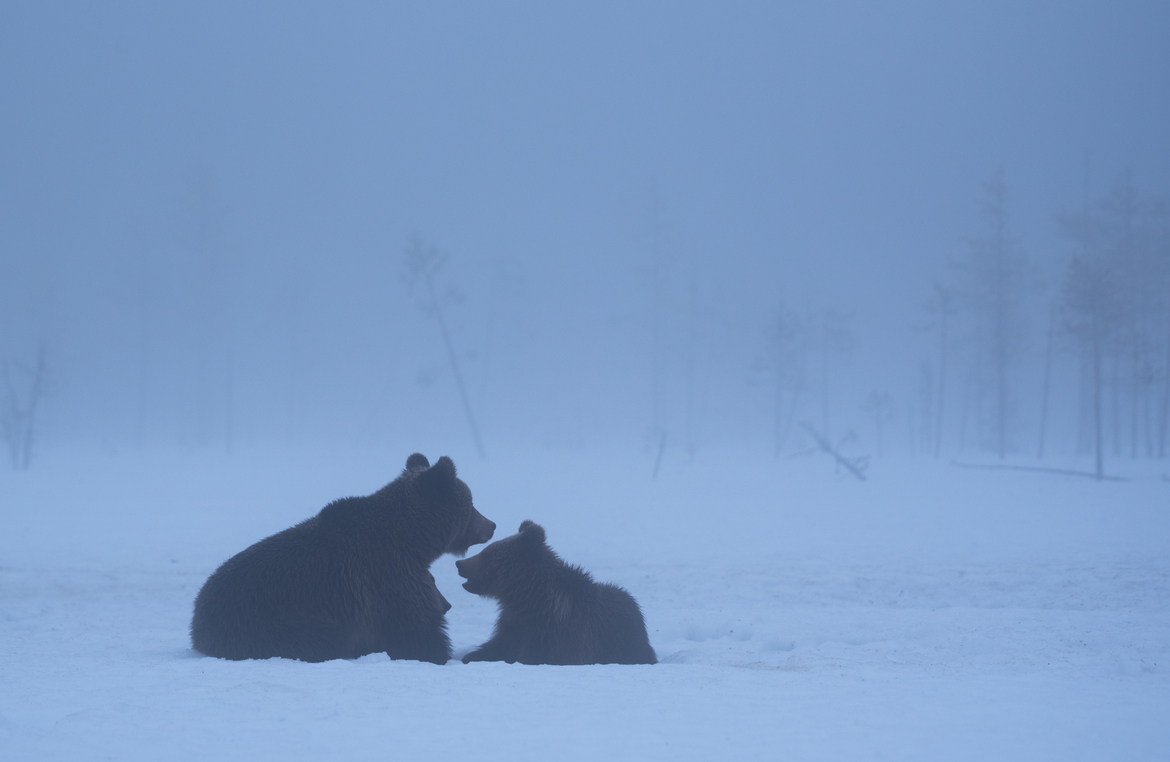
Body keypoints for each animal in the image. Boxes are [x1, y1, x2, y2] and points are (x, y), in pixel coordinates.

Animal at [190, 453, 495, 664]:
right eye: (471, 503)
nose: (491, 525)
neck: (411, 541)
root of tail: (196, 618)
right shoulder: (388, 577)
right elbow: (418, 629)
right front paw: (437, 652)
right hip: (274, 619)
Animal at [456, 520, 657, 666]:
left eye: (486, 553)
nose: (460, 564)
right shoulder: (513, 623)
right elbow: (498, 646)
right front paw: (469, 656)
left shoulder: (556, 632)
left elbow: (538, 656)